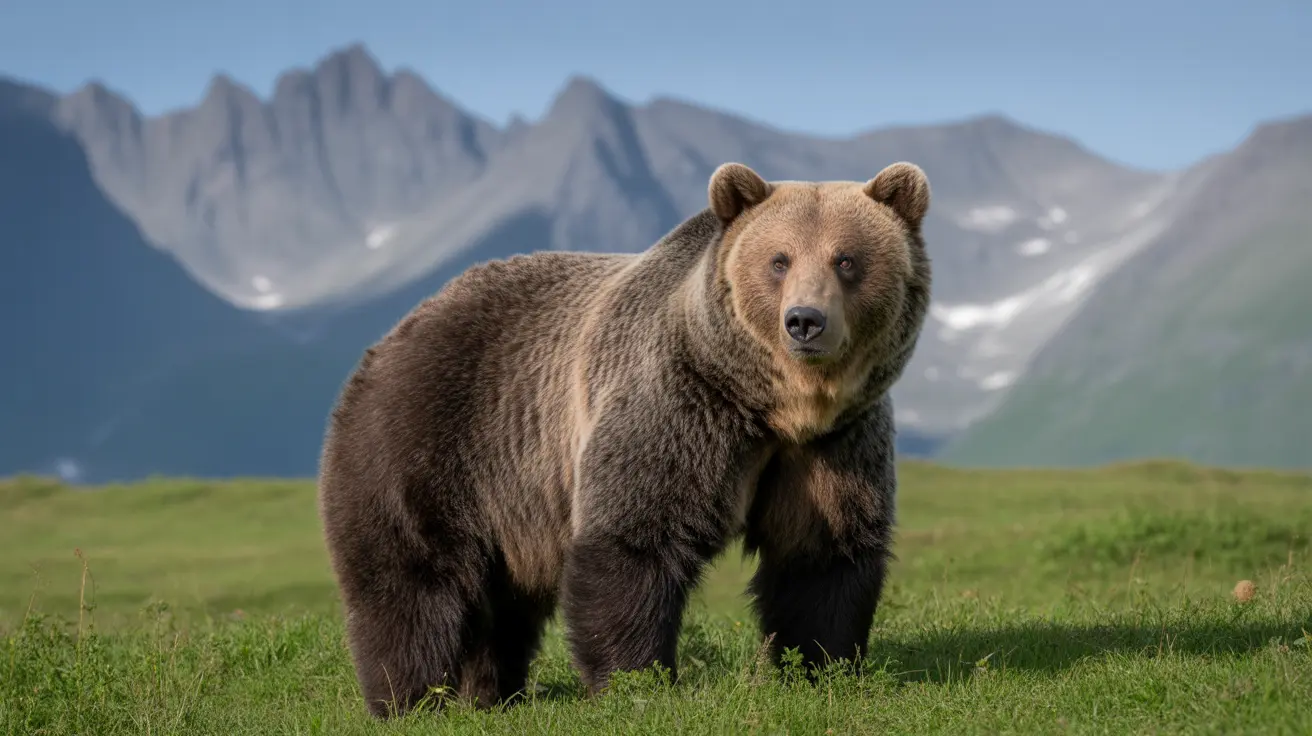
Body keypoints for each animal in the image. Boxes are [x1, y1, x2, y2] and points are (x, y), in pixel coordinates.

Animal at [316, 160, 933, 718]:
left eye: (846, 260)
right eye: (778, 261)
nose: (805, 321)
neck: (774, 407)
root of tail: (398, 331)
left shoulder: (834, 445)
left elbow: (824, 553)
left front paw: (821, 668)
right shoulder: (680, 405)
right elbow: (635, 539)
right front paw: (637, 680)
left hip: (512, 503)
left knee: (504, 604)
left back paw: (492, 691)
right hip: (431, 440)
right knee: (413, 581)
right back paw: (410, 698)